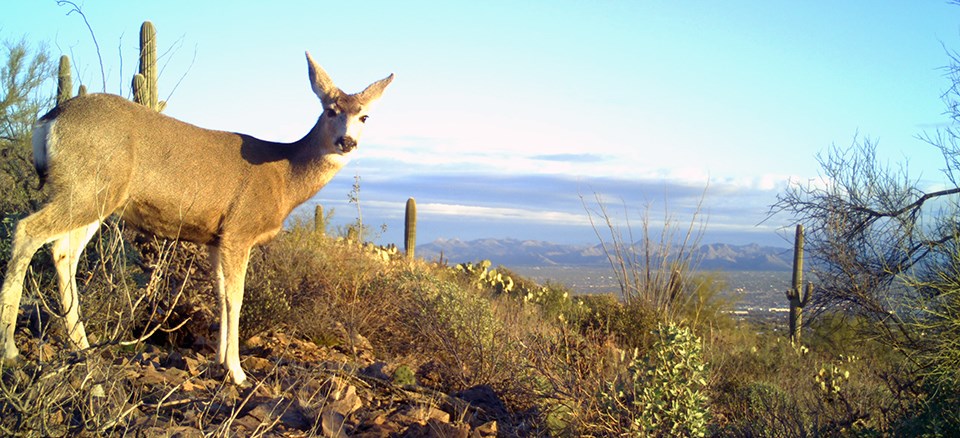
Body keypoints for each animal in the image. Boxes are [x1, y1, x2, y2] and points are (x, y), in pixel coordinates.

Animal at [0, 51, 394, 384]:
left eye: (364, 115)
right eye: (329, 110)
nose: (346, 142)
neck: (284, 178)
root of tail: (48, 119)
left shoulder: (215, 238)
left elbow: (219, 295)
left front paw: (220, 360)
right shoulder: (239, 229)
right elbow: (236, 297)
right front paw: (237, 371)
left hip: (95, 197)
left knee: (63, 251)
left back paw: (82, 346)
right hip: (87, 187)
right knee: (26, 230)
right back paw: (11, 350)